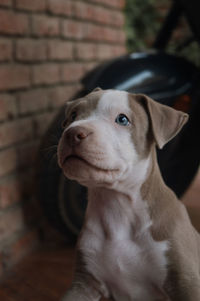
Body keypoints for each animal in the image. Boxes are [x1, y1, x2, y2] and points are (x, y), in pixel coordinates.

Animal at [57, 88, 200, 300]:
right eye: (73, 115)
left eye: (122, 119)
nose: (73, 133)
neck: (116, 204)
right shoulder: (85, 283)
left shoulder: (186, 282)